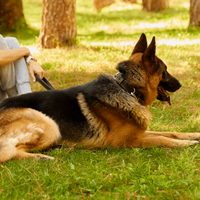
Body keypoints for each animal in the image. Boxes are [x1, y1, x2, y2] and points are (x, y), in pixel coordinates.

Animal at [0, 33, 200, 162]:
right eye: (165, 71)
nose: (180, 84)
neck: (127, 89)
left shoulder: (138, 132)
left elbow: (170, 132)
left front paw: (193, 135)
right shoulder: (127, 141)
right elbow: (162, 139)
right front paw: (187, 143)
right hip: (49, 124)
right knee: (9, 152)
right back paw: (41, 157)